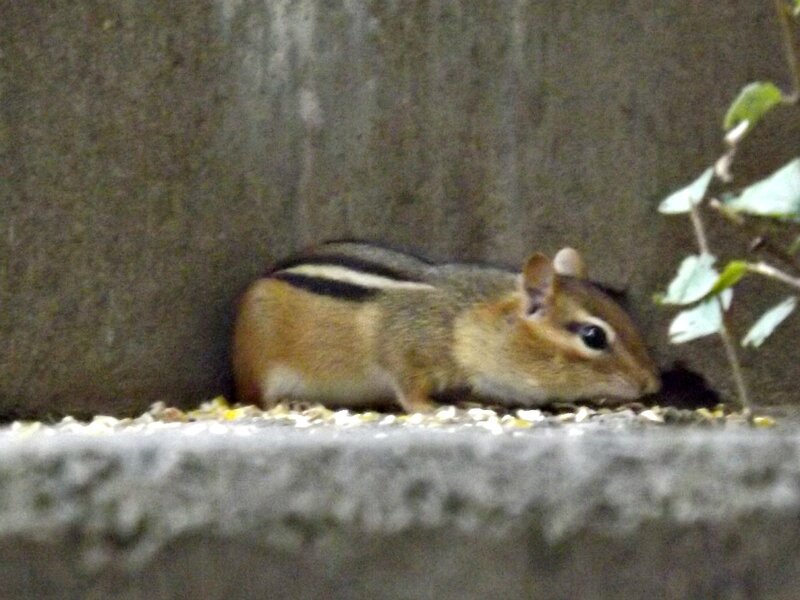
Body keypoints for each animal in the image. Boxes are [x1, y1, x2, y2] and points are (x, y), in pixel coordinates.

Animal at [232, 241, 661, 413]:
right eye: (593, 336)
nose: (652, 384)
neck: (466, 316)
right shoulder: (404, 347)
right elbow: (407, 387)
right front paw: (431, 407)